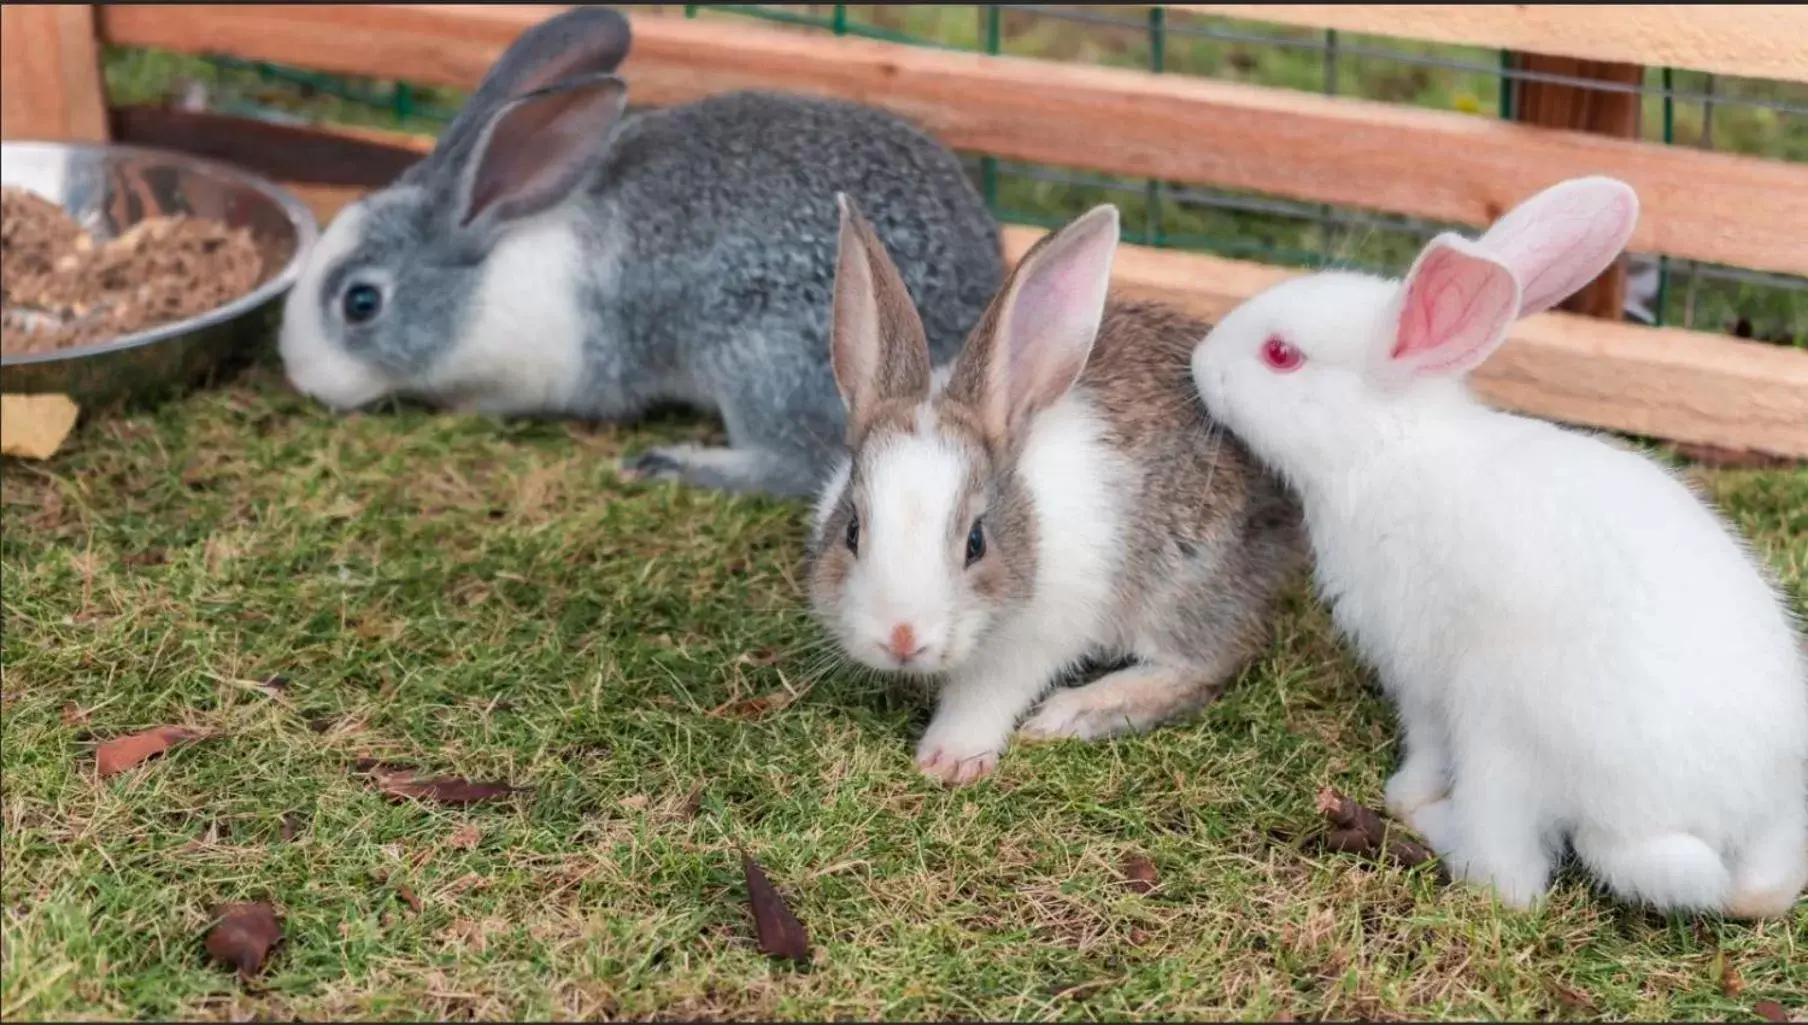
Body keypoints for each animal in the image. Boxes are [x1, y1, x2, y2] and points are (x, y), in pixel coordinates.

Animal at [278, 6, 1005, 498]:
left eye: (361, 302)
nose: (302, 377)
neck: (487, 267)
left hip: (761, 356)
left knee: (798, 461)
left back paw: (675, 463)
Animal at [806, 200, 1301, 791]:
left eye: (976, 542)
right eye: (852, 531)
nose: (902, 639)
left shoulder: (1033, 641)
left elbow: (983, 698)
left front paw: (949, 760)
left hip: (1184, 582)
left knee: (1205, 665)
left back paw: (1073, 713)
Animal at [1193, 178, 1800, 921]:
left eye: (1281, 354)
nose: (1199, 360)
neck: (1386, 447)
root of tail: (1710, 822)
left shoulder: (1417, 663)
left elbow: (1426, 742)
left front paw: (1405, 791)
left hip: (1501, 735)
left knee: (1509, 878)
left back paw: (1428, 824)